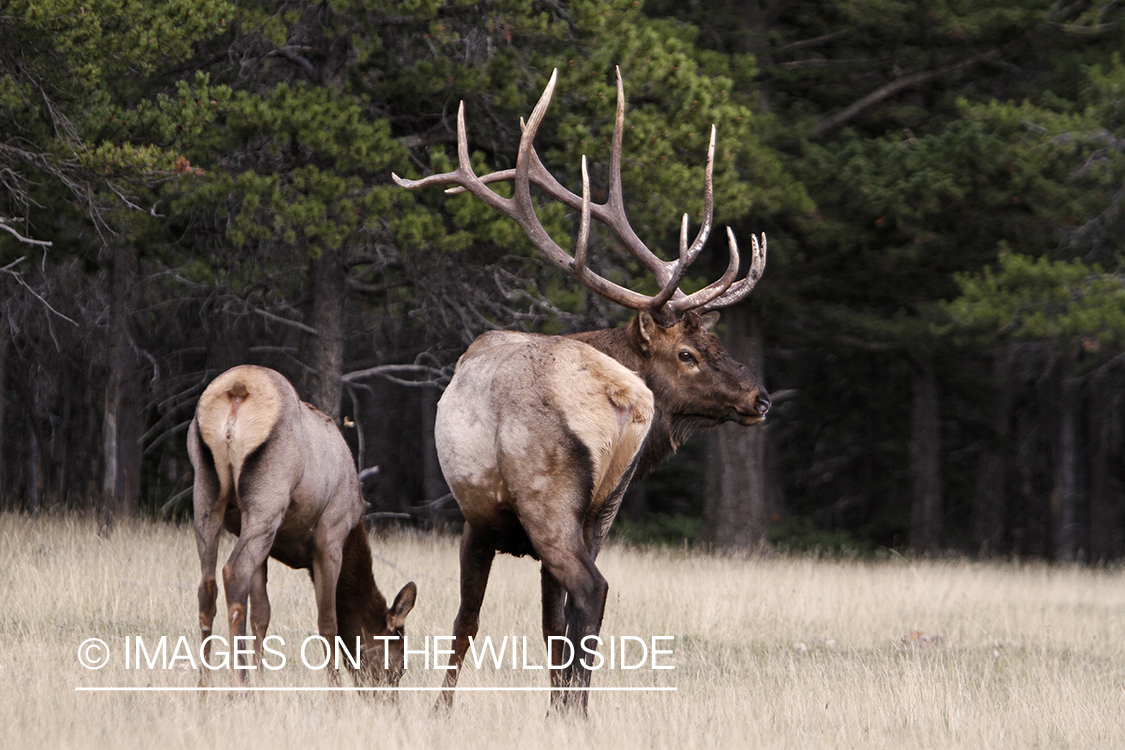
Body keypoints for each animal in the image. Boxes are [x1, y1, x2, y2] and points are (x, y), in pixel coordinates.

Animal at [189, 364, 418, 688]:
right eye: (398, 666)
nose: (387, 697)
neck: (354, 527)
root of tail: (238, 388)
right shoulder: (330, 536)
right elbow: (328, 622)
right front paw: (335, 690)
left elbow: (262, 613)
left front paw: (262, 683)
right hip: (267, 499)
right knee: (233, 572)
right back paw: (239, 686)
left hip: (206, 494)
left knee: (208, 585)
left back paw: (204, 687)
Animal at [391, 67, 769, 715]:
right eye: (690, 354)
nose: (760, 398)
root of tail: (623, 399)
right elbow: (548, 625)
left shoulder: (475, 518)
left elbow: (467, 620)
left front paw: (440, 710)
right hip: (600, 510)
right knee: (579, 612)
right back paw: (575, 710)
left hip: (546, 495)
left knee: (592, 591)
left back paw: (573, 709)